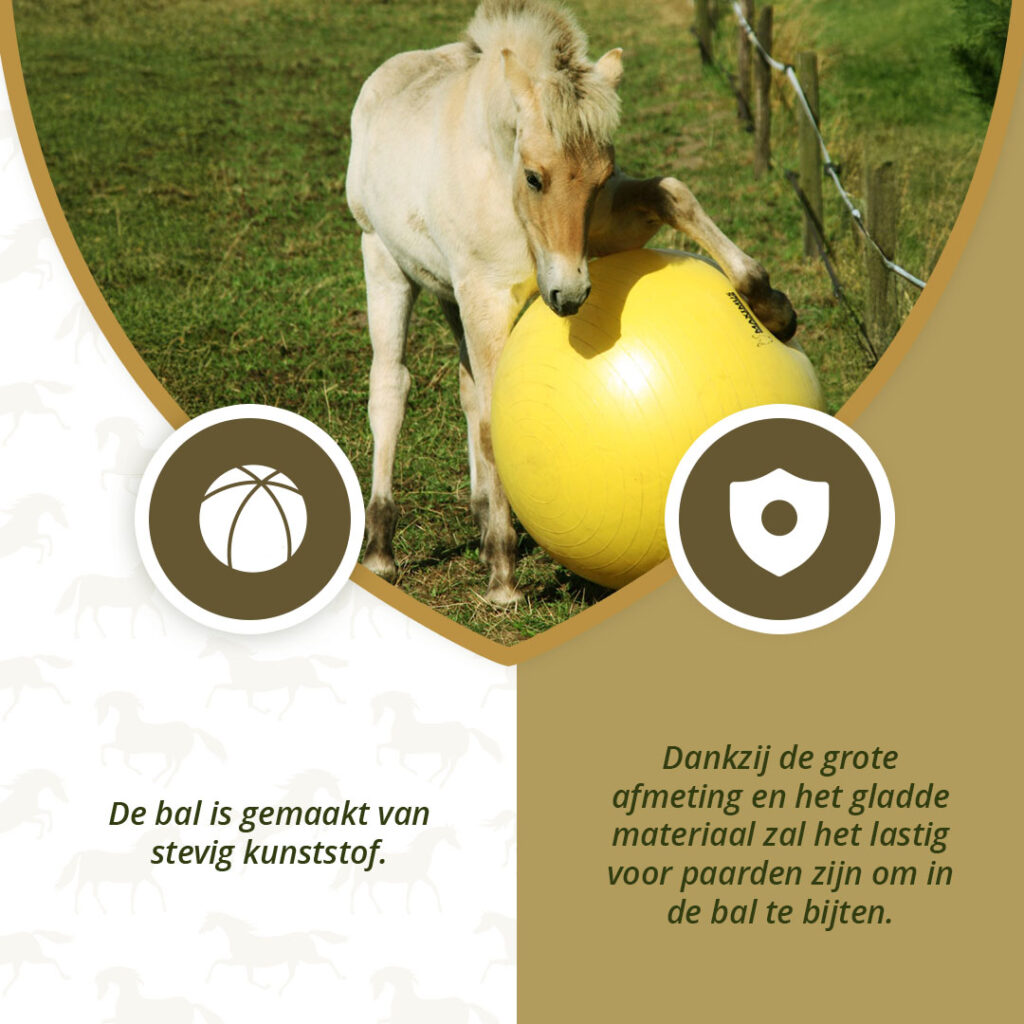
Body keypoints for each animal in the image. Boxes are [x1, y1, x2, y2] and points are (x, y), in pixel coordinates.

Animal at [346, 0, 796, 604]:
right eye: (536, 176)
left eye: (600, 177)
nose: (571, 293)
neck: (499, 175)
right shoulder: (486, 295)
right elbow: (492, 418)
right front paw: (504, 578)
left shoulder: (601, 232)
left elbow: (673, 192)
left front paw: (774, 309)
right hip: (385, 263)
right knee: (391, 387)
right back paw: (383, 548)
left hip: (447, 292)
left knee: (464, 387)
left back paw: (480, 519)